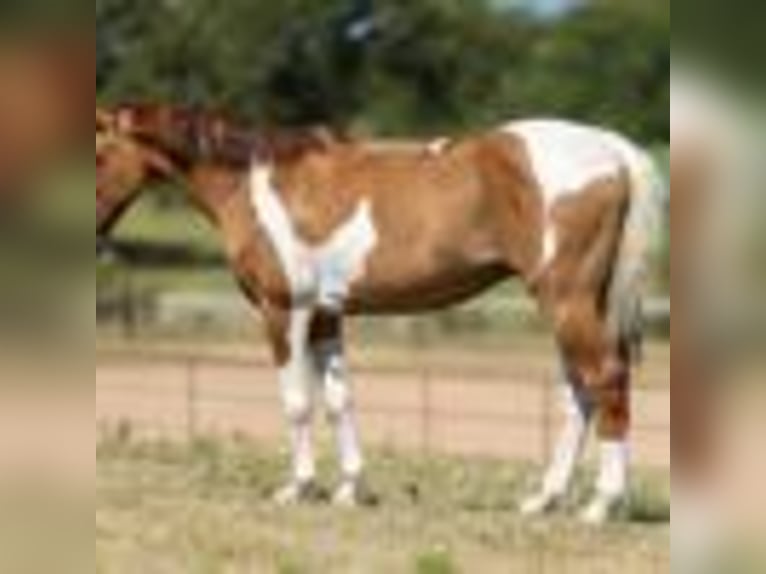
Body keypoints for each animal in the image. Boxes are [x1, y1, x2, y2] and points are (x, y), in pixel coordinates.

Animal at [96, 103, 662, 523]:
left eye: (99, 151)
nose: (97, 230)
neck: (258, 185)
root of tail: (613, 149)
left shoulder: (285, 311)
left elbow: (297, 402)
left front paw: (299, 488)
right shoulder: (327, 315)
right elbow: (338, 399)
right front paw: (351, 489)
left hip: (566, 300)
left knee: (605, 380)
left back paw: (601, 504)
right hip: (572, 305)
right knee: (579, 394)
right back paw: (544, 499)